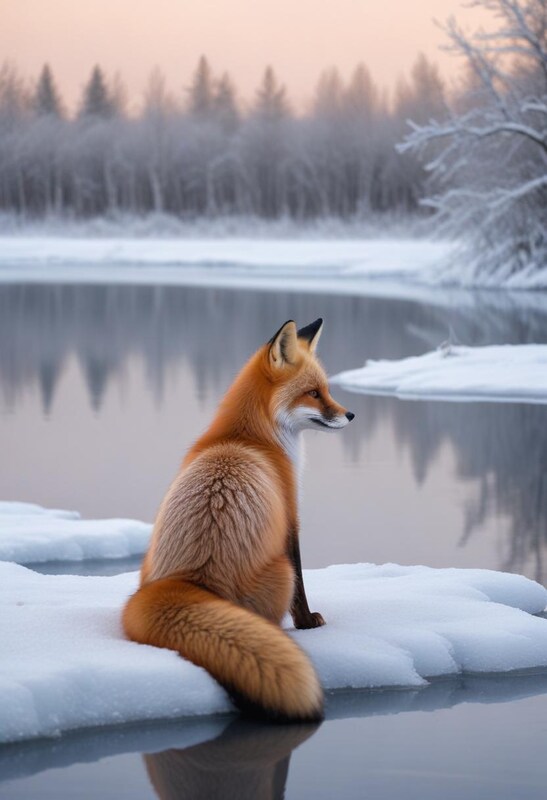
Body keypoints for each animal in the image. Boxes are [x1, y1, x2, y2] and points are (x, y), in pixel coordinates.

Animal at [122, 318, 354, 722]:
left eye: (325, 390)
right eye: (313, 393)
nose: (350, 415)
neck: (250, 437)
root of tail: (186, 584)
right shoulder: (289, 520)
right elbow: (302, 590)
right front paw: (307, 623)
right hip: (279, 570)